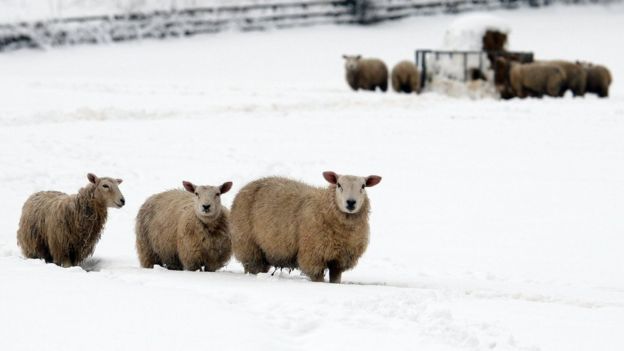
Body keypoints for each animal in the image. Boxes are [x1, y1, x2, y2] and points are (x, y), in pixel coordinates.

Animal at [229, 172, 380, 284]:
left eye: (363, 186)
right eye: (339, 185)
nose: (351, 202)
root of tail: (247, 186)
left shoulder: (339, 260)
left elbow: (335, 279)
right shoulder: (313, 257)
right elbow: (318, 279)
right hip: (248, 246)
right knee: (252, 266)